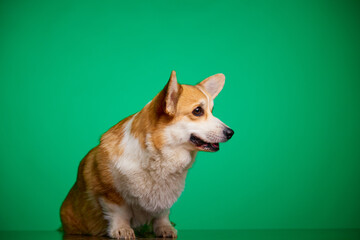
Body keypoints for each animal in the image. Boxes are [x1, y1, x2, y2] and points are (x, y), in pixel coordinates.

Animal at [60, 71, 235, 238]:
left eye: (212, 111)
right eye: (198, 111)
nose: (231, 132)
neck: (158, 154)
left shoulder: (165, 199)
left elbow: (162, 214)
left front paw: (165, 228)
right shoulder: (110, 192)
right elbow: (119, 212)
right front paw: (122, 230)